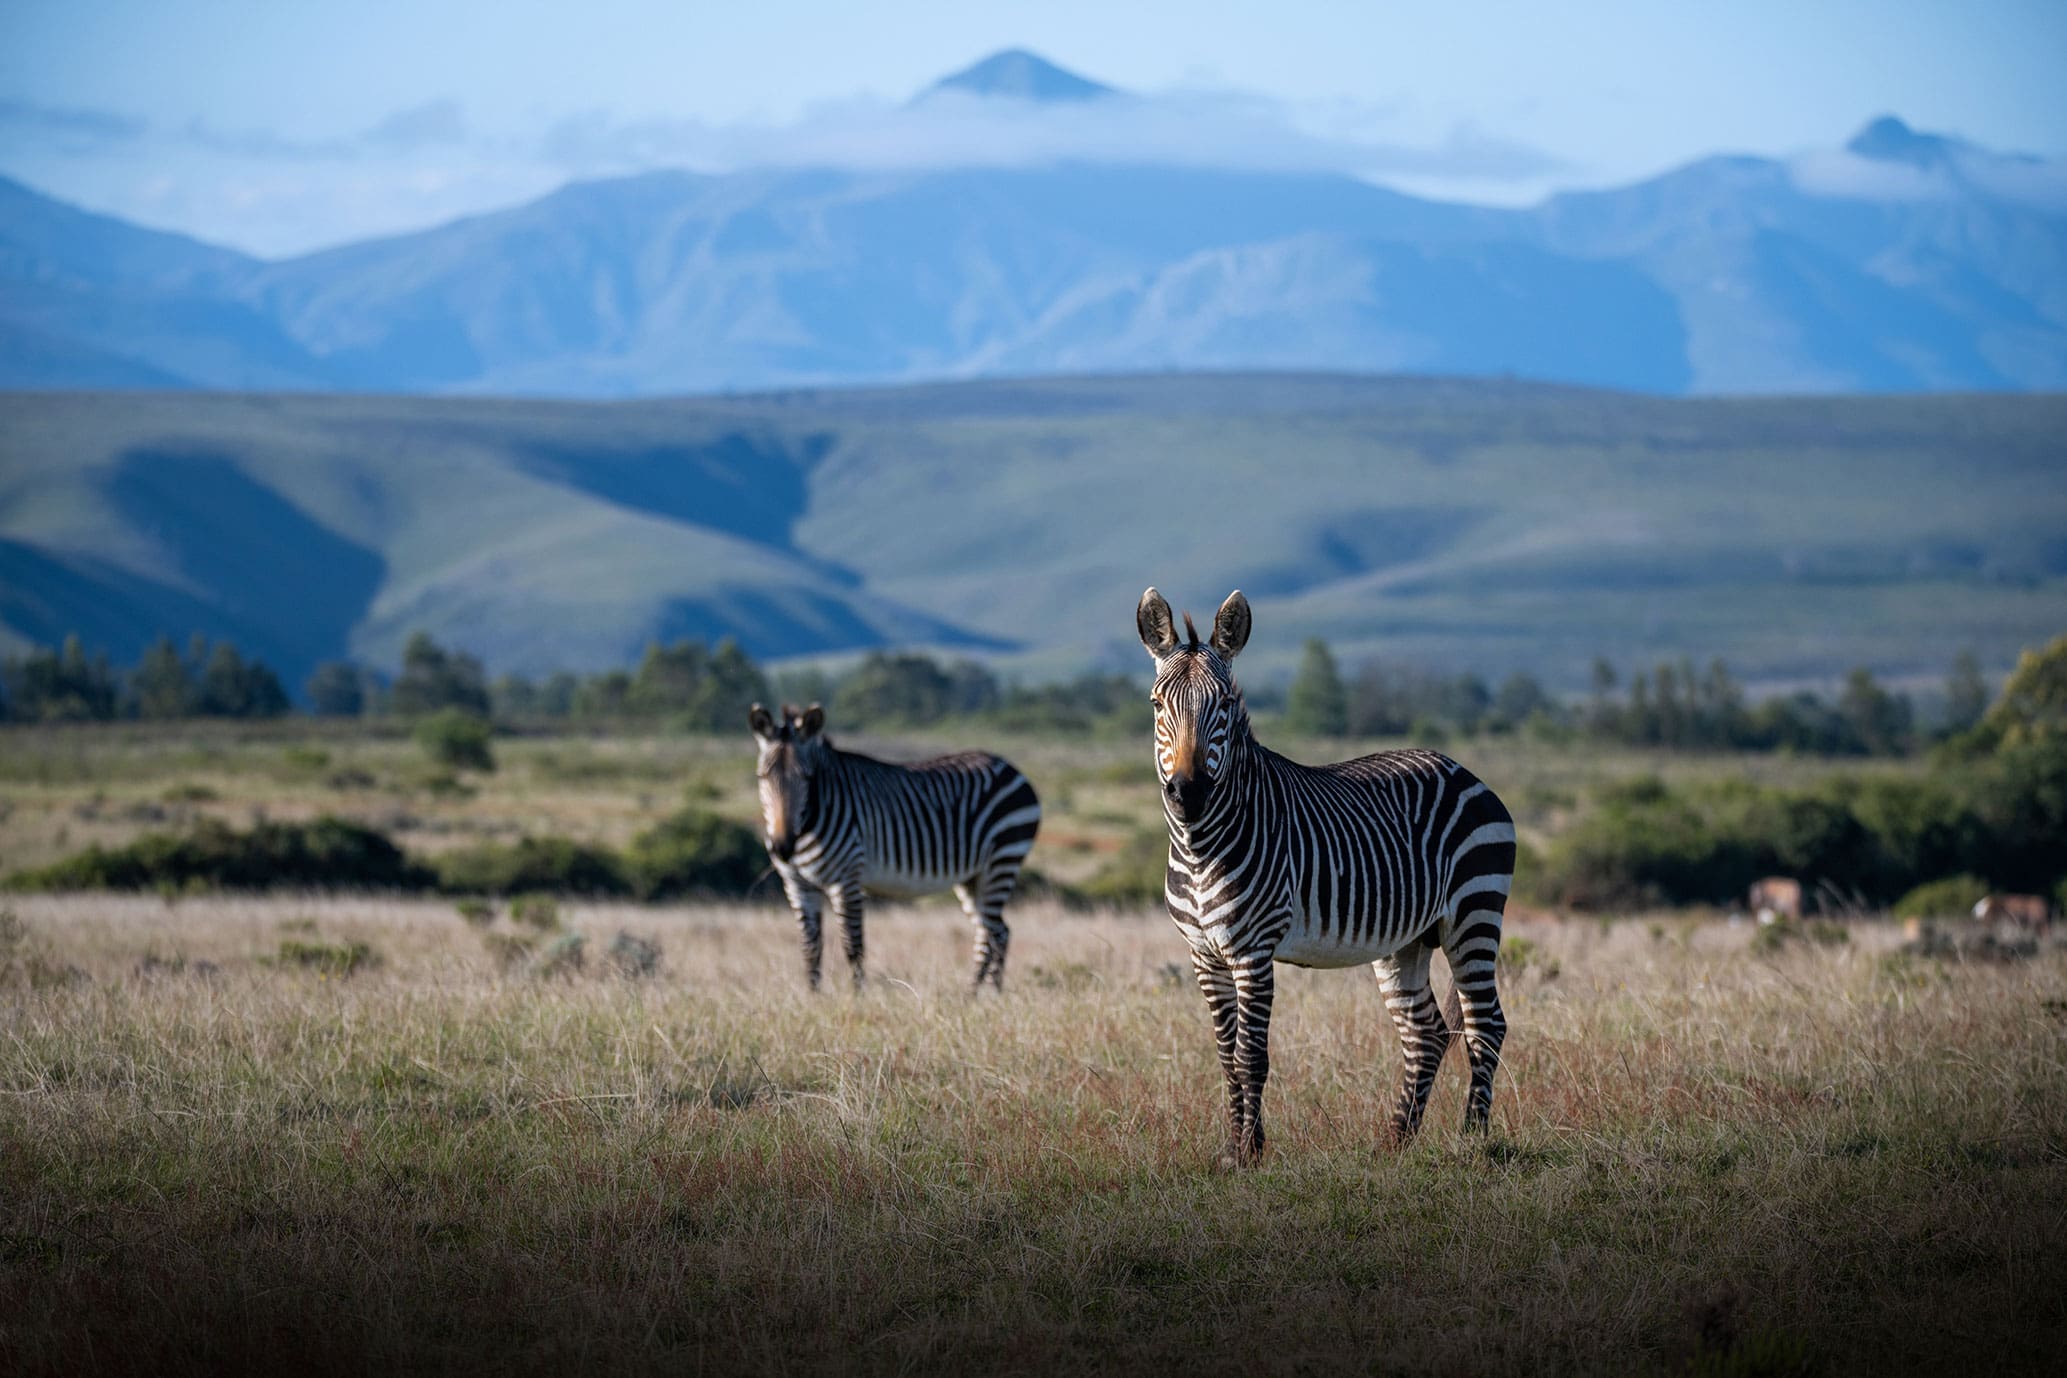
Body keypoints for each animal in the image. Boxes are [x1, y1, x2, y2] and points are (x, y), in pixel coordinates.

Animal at [748, 702, 1042, 991]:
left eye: (807, 778)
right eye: (762, 777)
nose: (783, 847)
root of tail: (1010, 768)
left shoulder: (847, 878)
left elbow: (853, 945)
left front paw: (858, 996)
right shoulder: (797, 885)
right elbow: (810, 948)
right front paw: (814, 996)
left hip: (1002, 859)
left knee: (994, 933)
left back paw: (983, 993)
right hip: (973, 877)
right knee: (994, 931)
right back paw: (981, 993)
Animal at [1136, 588, 1517, 1164]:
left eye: (1224, 705)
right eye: (1159, 704)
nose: (1188, 792)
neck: (1201, 847)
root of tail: (1464, 770)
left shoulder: (1253, 950)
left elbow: (1251, 1057)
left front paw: (1250, 1154)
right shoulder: (1204, 953)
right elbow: (1226, 1055)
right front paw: (1230, 1150)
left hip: (1474, 914)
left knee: (1484, 1025)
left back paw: (1470, 1140)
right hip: (1406, 940)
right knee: (1426, 1032)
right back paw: (1396, 1140)